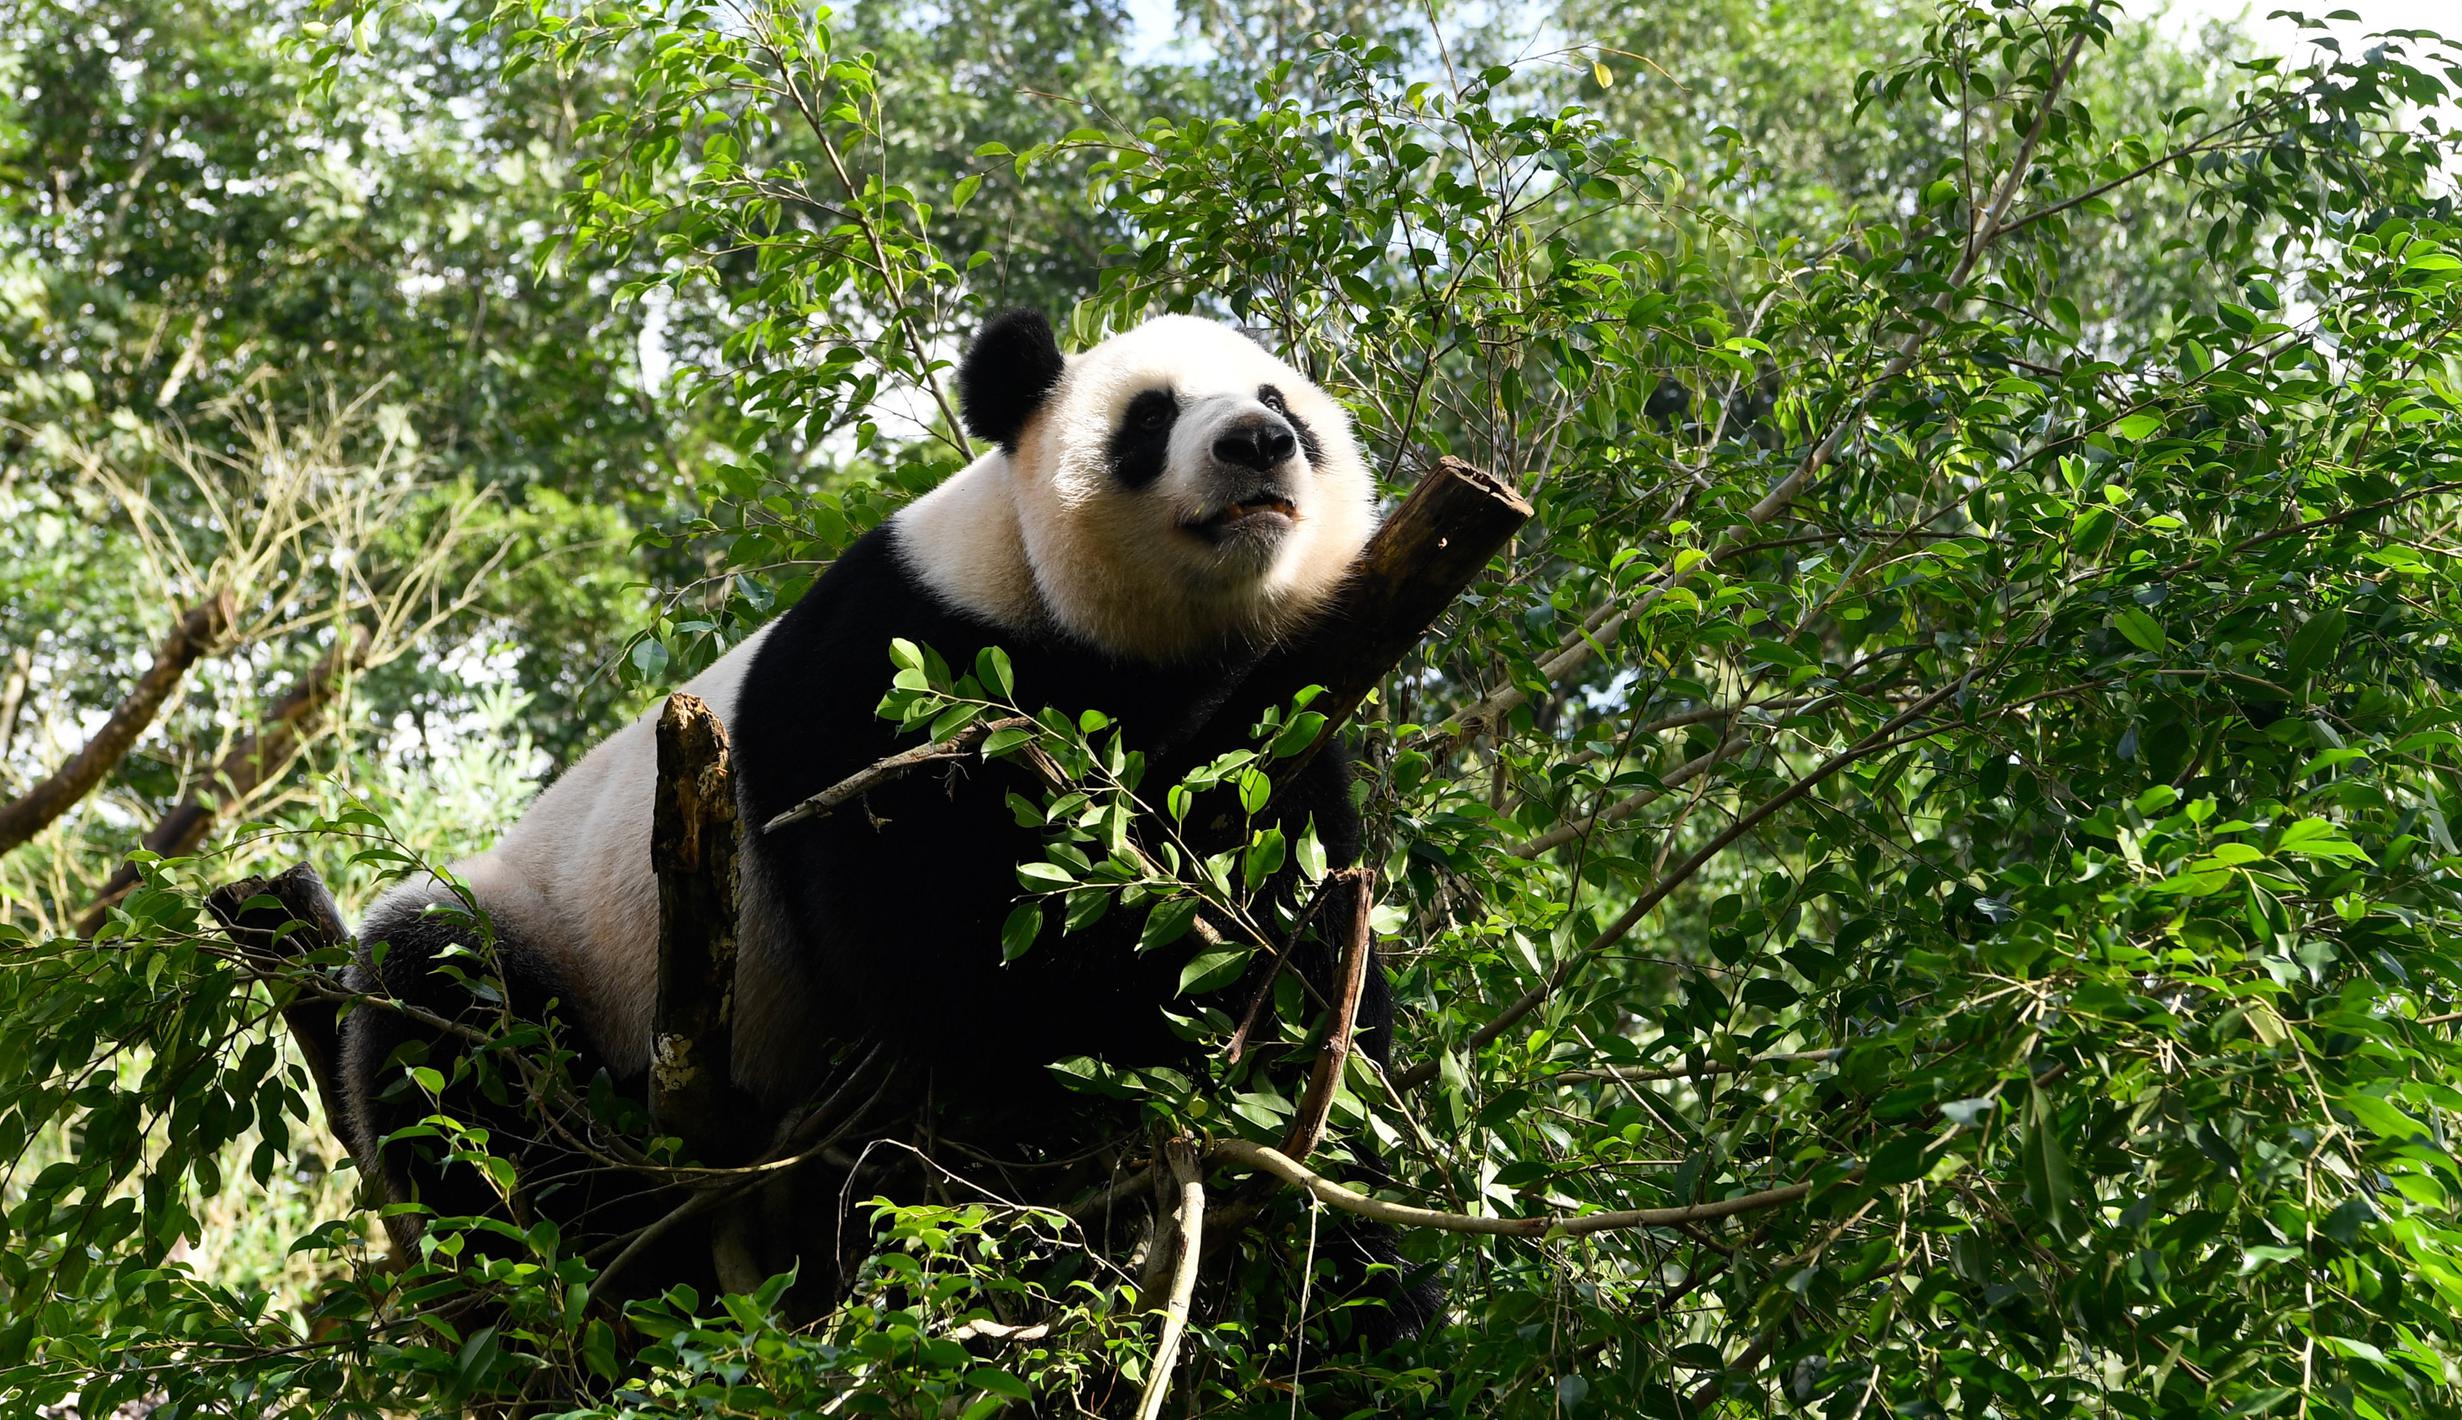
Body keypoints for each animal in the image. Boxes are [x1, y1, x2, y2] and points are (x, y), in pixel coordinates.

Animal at [341, 309, 1432, 1331]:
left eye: (1279, 400)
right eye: (1151, 415)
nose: (1256, 441)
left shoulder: (1296, 727)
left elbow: (1307, 945)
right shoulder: (898, 681)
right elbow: (958, 962)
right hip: (561, 946)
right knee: (447, 1023)